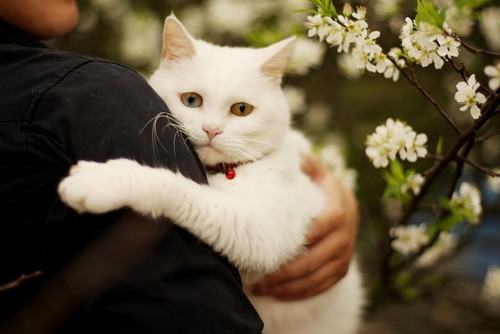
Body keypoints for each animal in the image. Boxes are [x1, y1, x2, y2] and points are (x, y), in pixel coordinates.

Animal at [57, 14, 364, 332]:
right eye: (191, 100)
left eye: (241, 109)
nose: (212, 130)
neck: (223, 173)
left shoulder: (261, 234)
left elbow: (177, 188)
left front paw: (101, 182)